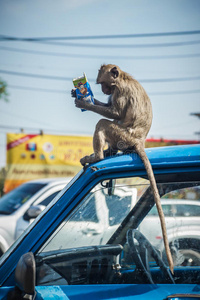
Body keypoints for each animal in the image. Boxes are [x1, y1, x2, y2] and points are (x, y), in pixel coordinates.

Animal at [72, 63, 173, 274]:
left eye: (103, 84)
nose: (103, 90)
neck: (123, 78)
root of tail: (139, 141)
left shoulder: (120, 91)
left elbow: (115, 114)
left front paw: (85, 103)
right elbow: (109, 109)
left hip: (123, 137)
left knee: (104, 123)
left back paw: (98, 157)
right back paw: (108, 152)